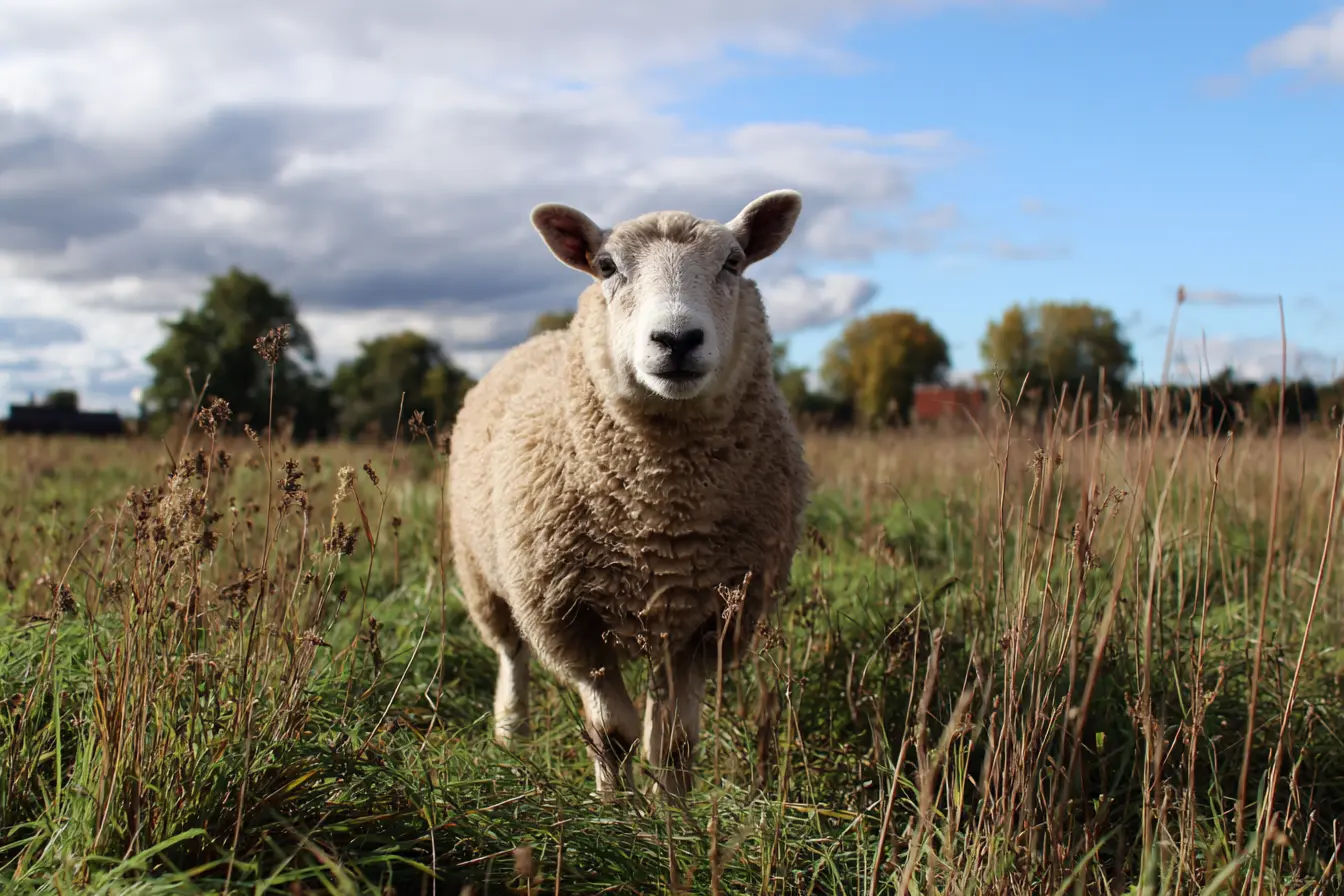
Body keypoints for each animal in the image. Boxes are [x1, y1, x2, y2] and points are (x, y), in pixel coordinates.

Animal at [447, 190, 811, 798]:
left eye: (734, 262)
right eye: (606, 266)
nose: (677, 339)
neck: (662, 513)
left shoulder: (708, 620)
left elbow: (675, 742)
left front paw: (674, 814)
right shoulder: (568, 617)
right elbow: (611, 734)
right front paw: (612, 806)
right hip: (485, 576)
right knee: (511, 652)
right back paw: (511, 732)